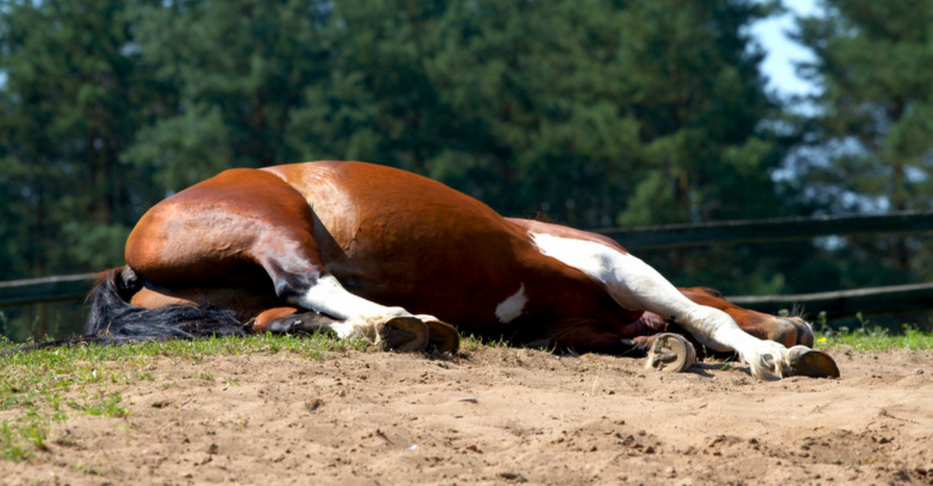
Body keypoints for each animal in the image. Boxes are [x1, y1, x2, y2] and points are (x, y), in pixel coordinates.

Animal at [87, 160, 840, 380]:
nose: (800, 325)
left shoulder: (565, 326)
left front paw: (660, 348)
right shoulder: (614, 264)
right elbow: (703, 312)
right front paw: (772, 353)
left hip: (246, 303)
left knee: (288, 317)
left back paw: (397, 329)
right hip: (271, 218)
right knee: (305, 281)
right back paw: (402, 320)